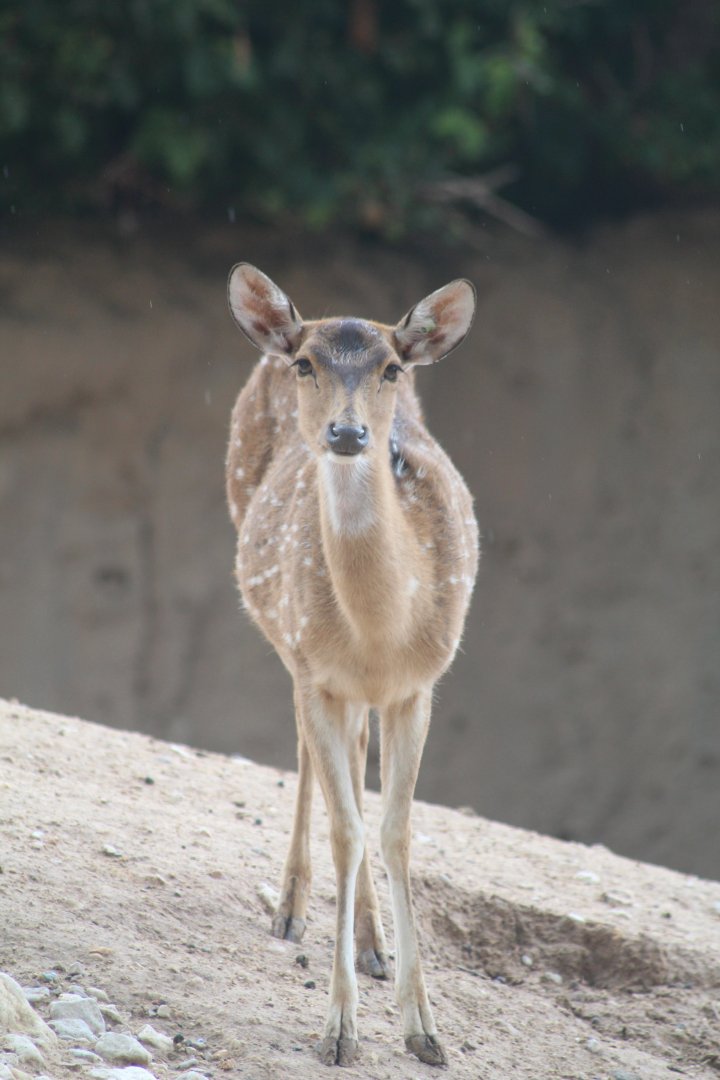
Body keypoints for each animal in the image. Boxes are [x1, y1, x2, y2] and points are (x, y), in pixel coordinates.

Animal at [226, 263, 478, 1068]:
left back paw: (372, 944)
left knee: (359, 767)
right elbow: (347, 829)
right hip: (284, 632)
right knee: (309, 755)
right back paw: (291, 909)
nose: (346, 431)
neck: (380, 632)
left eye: (391, 367)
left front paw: (424, 1029)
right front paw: (339, 1029)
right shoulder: (317, 670)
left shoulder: (420, 686)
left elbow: (396, 830)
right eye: (308, 364)